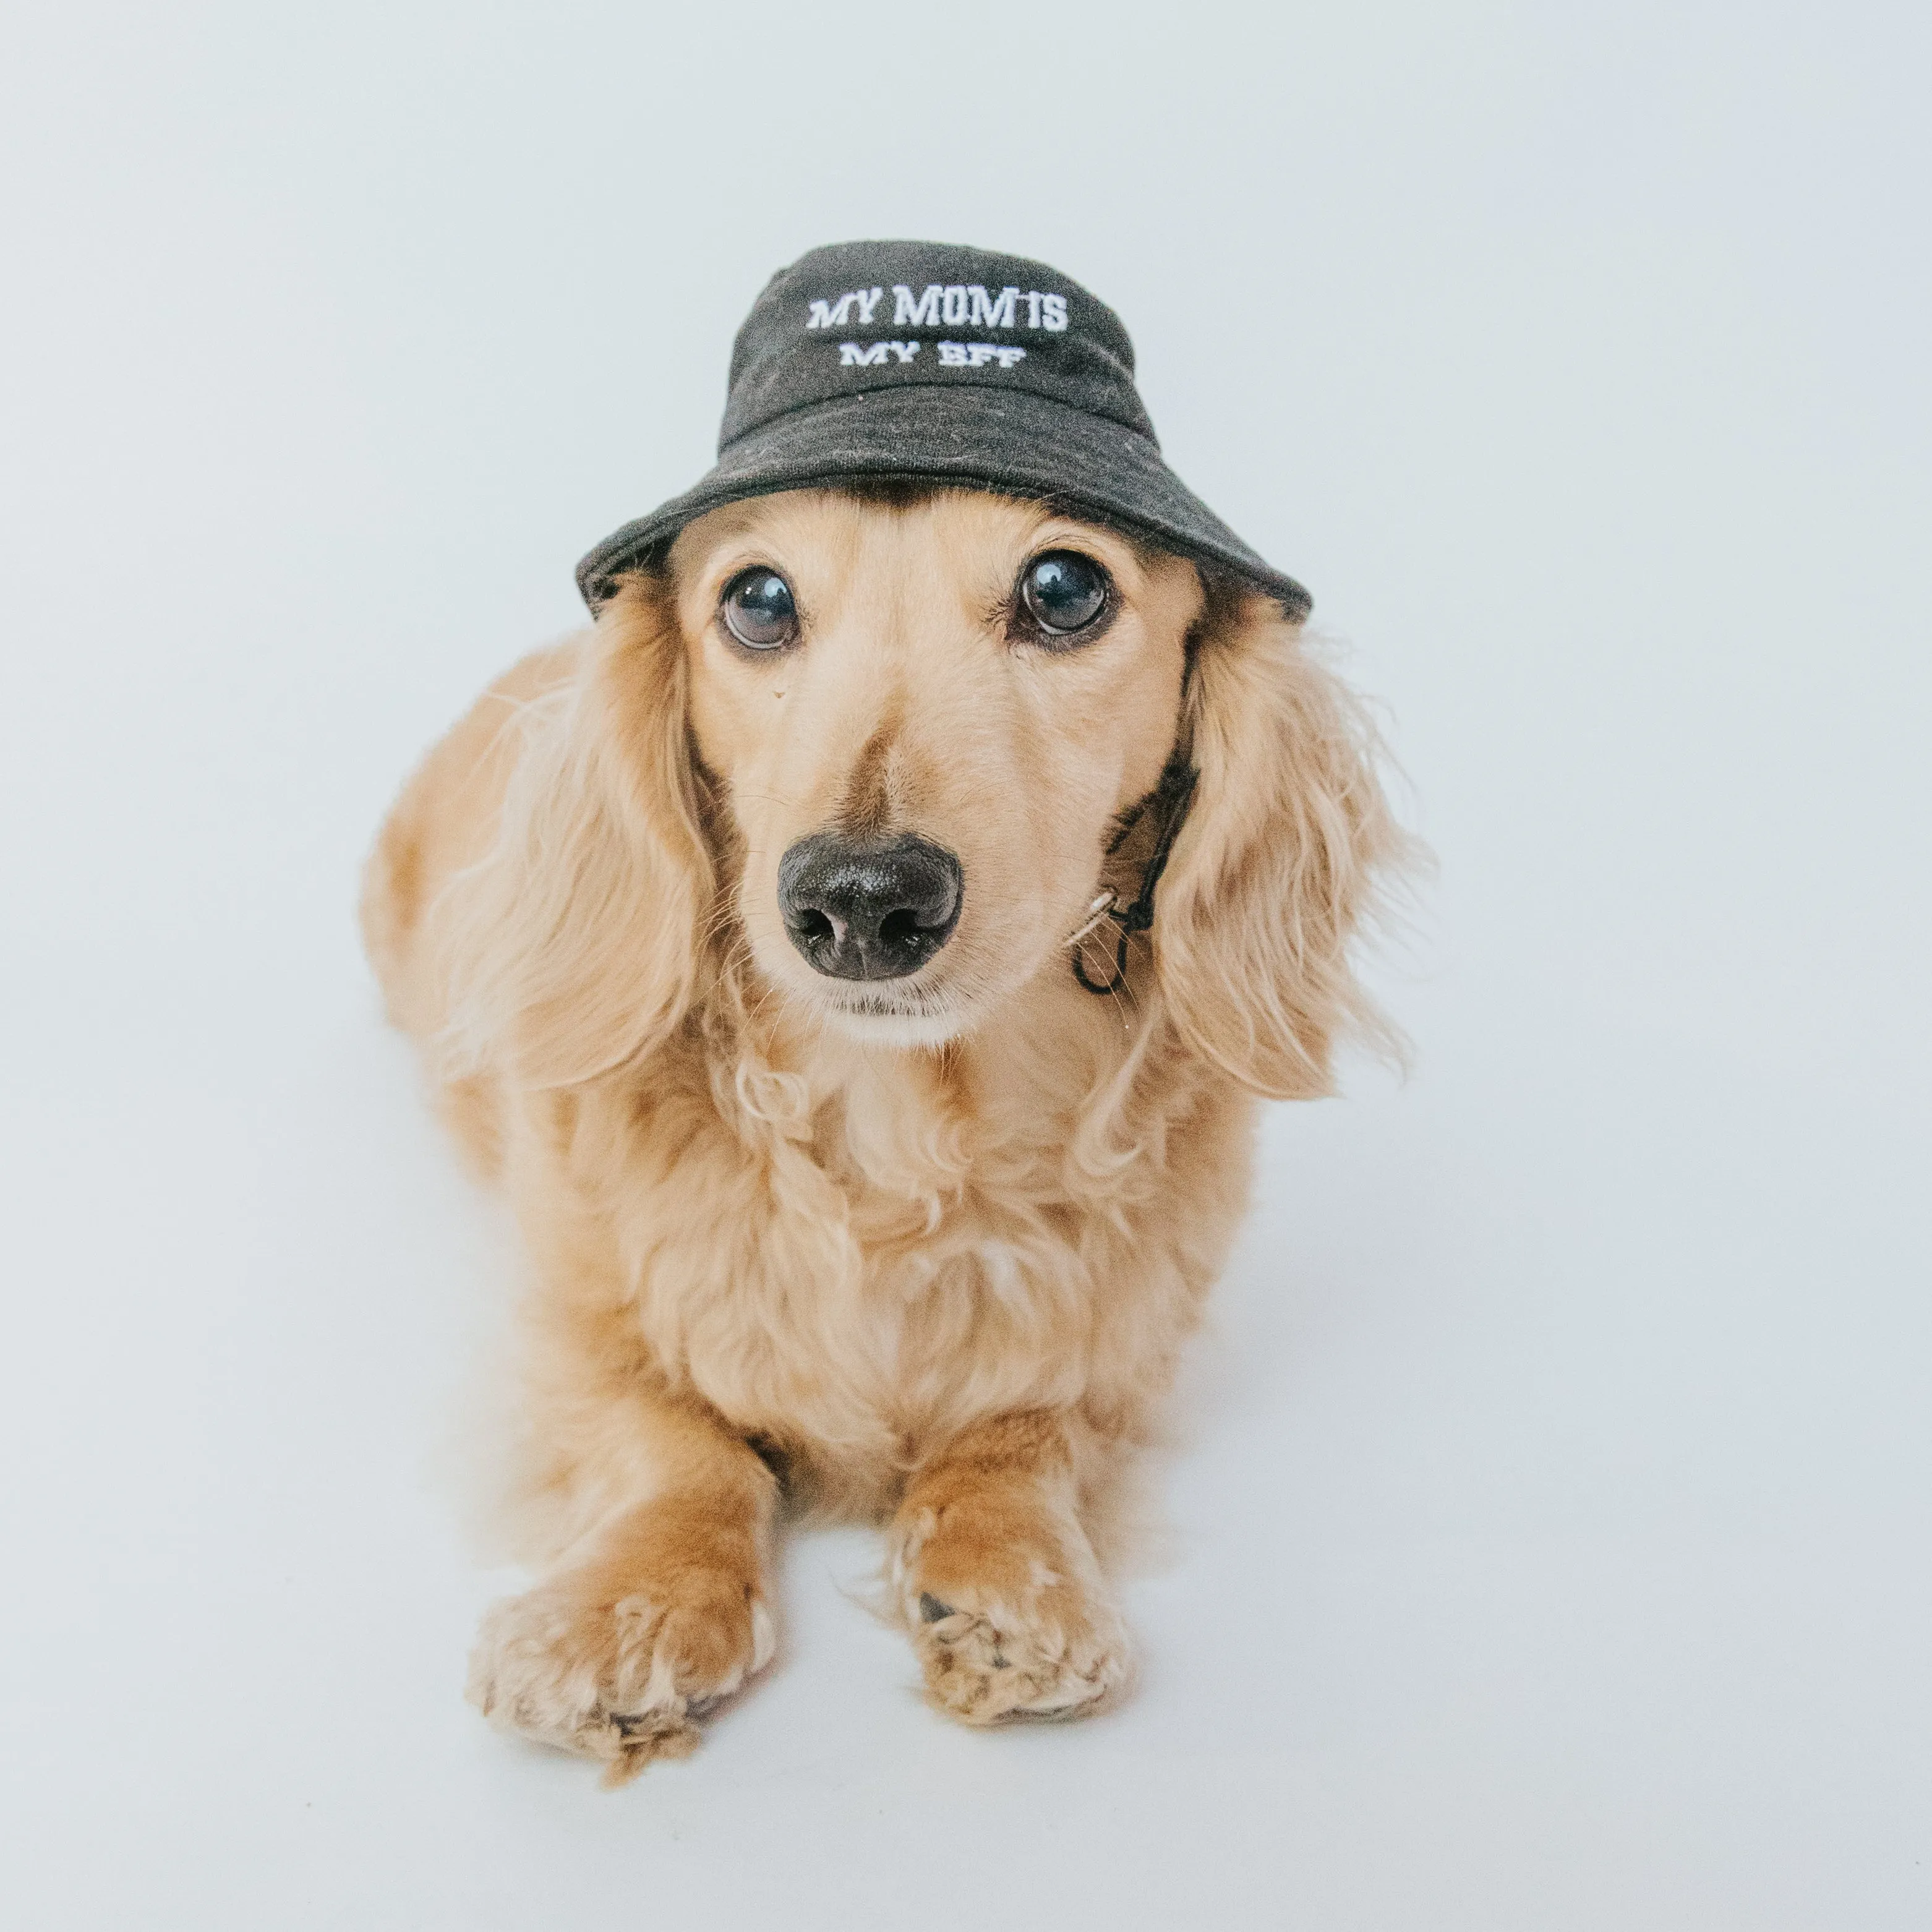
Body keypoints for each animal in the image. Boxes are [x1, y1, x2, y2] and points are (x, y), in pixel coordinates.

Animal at [359, 245, 1406, 1777]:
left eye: (1061, 585)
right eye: (755, 599)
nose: (860, 900)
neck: (907, 1123)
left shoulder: (1120, 1362)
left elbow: (1021, 1427)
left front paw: (1006, 1577)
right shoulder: (567, 1321)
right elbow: (674, 1436)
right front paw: (633, 1602)